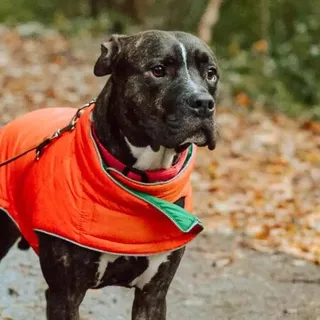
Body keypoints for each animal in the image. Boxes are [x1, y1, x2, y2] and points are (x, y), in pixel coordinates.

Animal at [0, 28, 219, 318]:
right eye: (158, 70)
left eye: (211, 73)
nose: (204, 103)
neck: (139, 182)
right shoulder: (64, 295)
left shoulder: (153, 294)